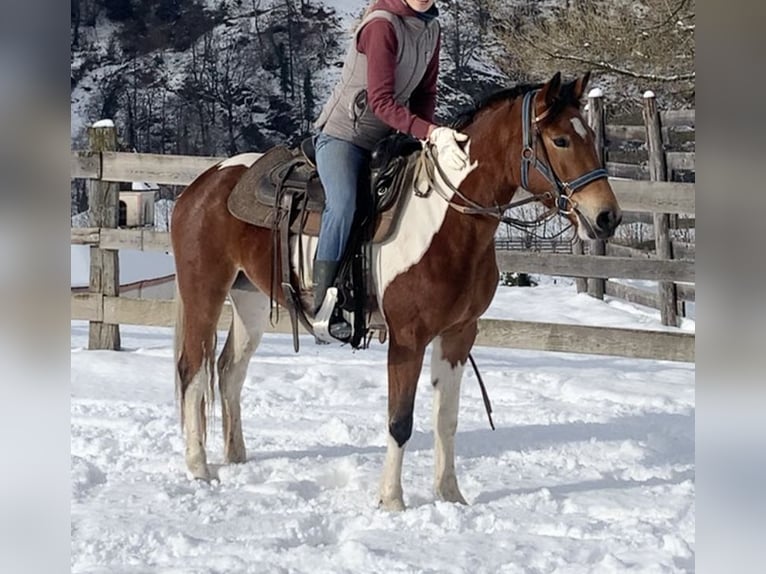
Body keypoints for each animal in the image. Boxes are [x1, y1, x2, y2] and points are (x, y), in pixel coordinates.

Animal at [170, 72, 622, 510]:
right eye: (560, 140)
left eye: (590, 136)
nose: (607, 217)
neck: (447, 222)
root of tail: (203, 183)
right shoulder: (408, 338)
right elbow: (400, 421)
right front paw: (391, 500)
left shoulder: (459, 334)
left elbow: (446, 419)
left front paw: (450, 495)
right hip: (204, 292)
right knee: (193, 369)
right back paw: (198, 466)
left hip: (249, 301)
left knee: (228, 370)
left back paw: (236, 455)